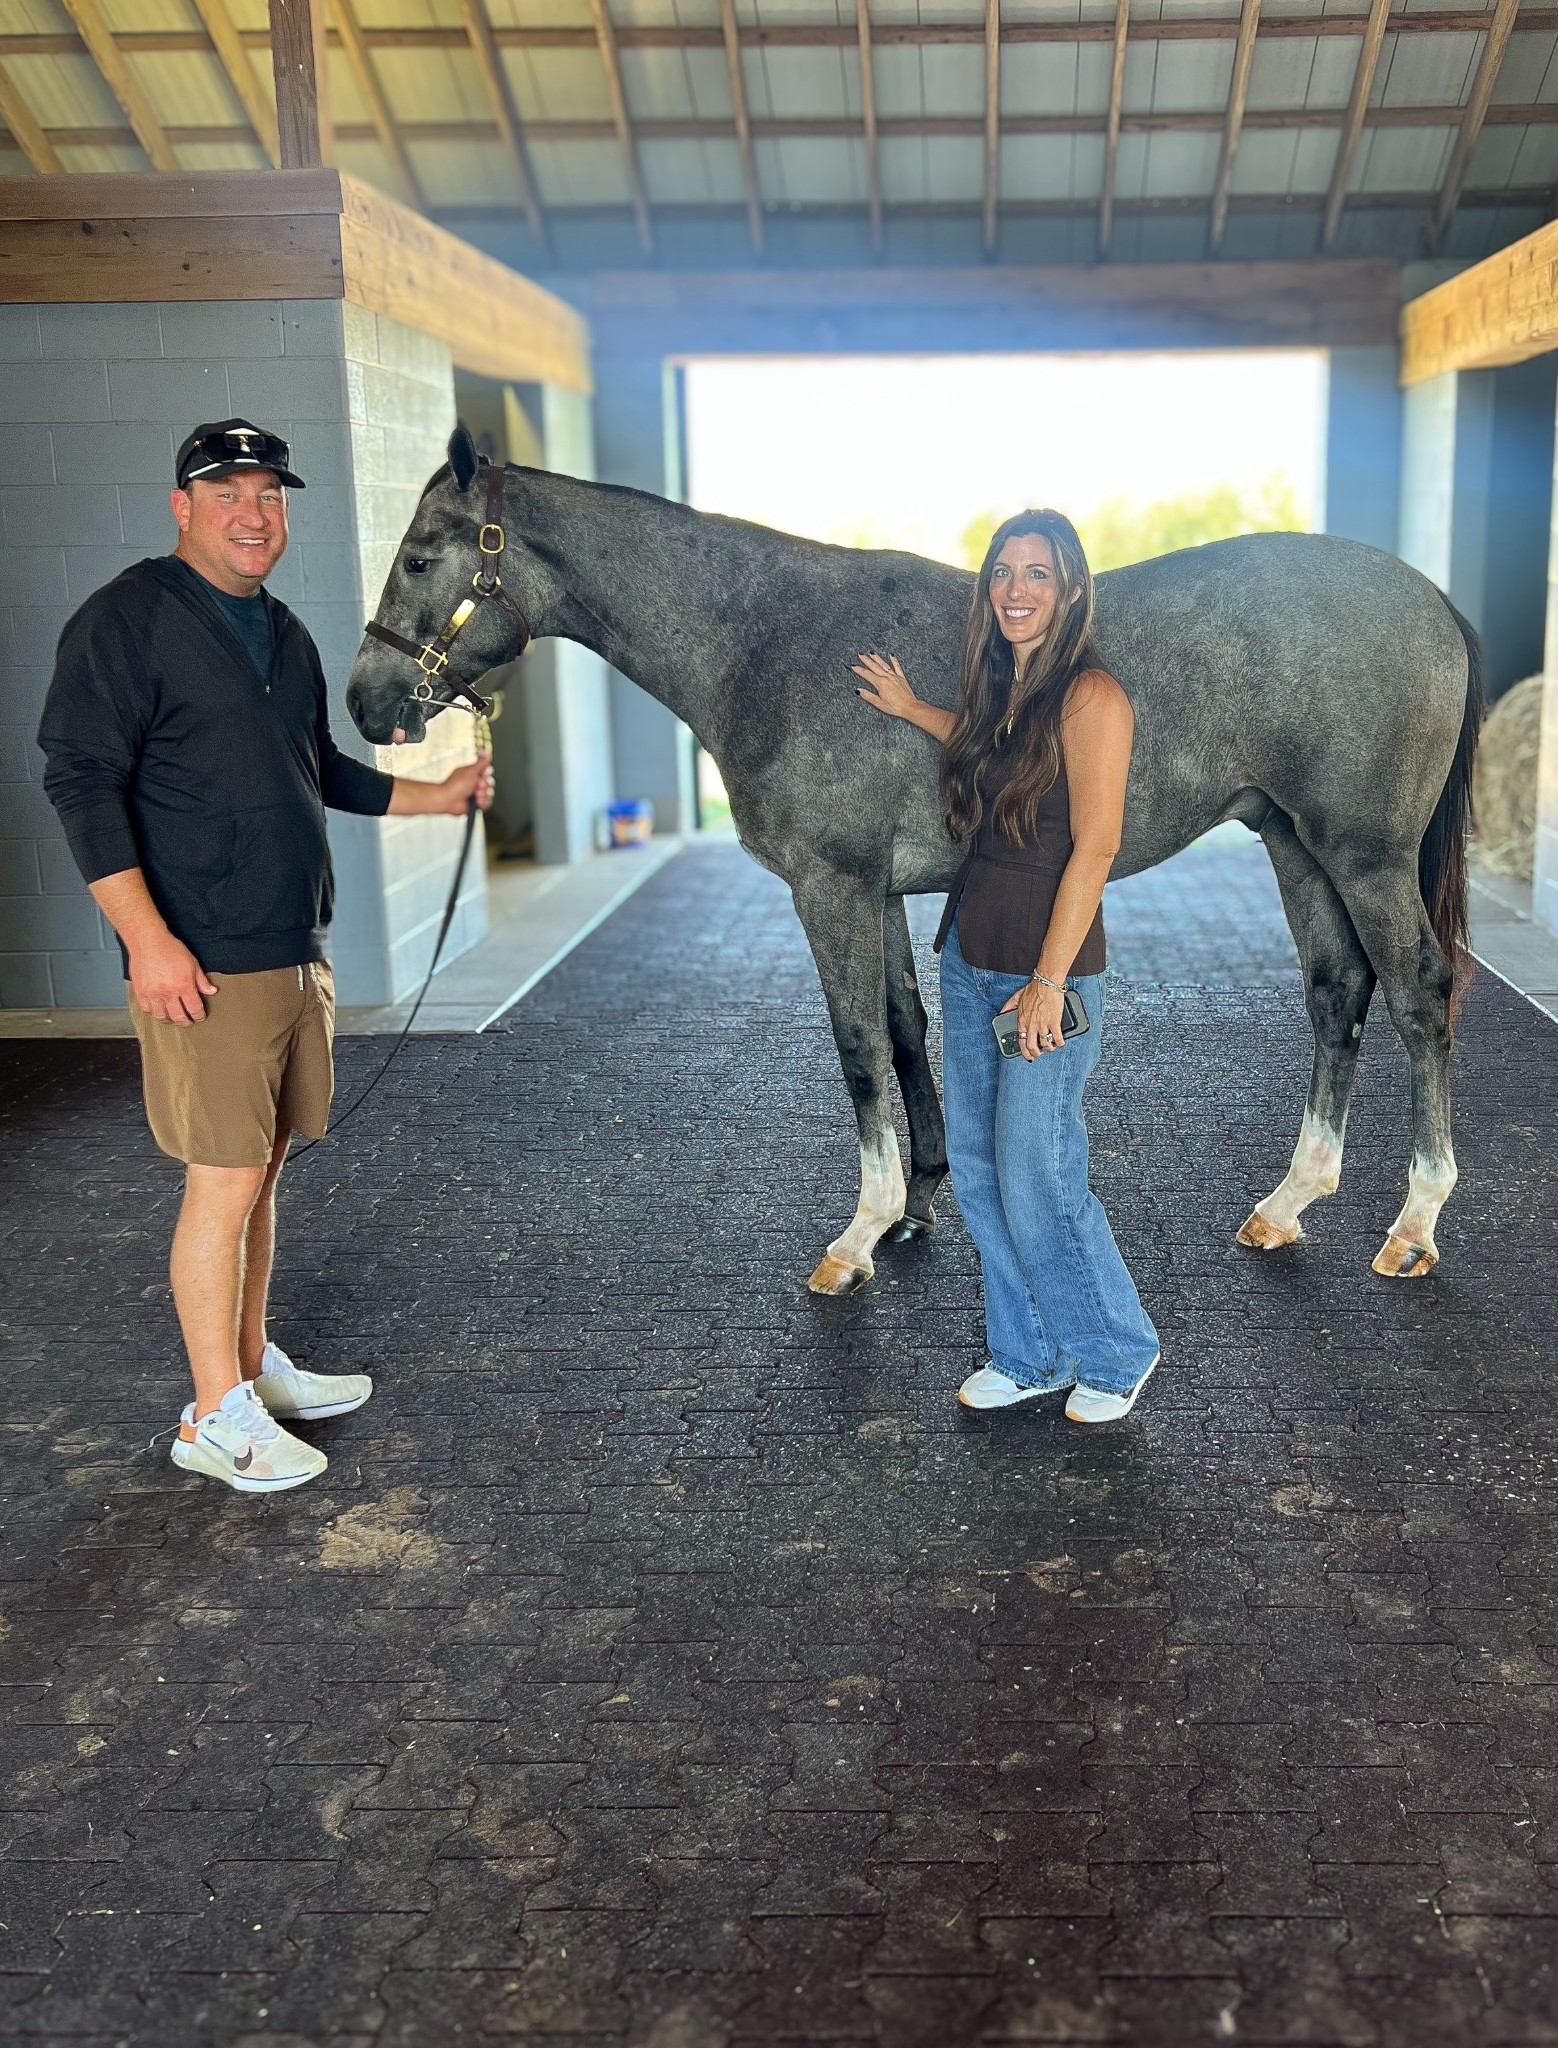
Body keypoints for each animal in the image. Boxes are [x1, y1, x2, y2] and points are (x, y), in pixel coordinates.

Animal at [345, 425, 1481, 1296]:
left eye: (421, 553)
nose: (365, 701)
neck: (767, 642)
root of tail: (1428, 596)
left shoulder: (830, 886)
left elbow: (854, 1046)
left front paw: (858, 1233)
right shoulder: (878, 890)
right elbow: (900, 1032)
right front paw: (917, 1200)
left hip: (1364, 855)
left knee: (1419, 994)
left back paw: (1414, 1222)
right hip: (1295, 842)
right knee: (1336, 991)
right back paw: (1289, 1202)